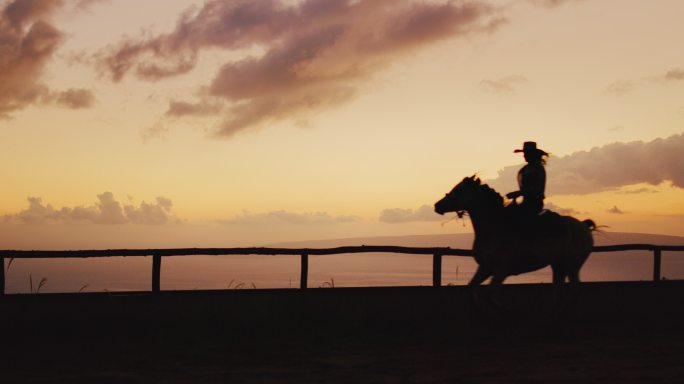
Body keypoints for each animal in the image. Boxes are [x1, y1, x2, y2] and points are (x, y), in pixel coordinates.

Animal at [436, 176, 596, 286]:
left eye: (459, 190)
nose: (438, 205)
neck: (494, 228)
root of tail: (583, 225)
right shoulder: (484, 269)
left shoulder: (500, 272)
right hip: (558, 265)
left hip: (572, 266)